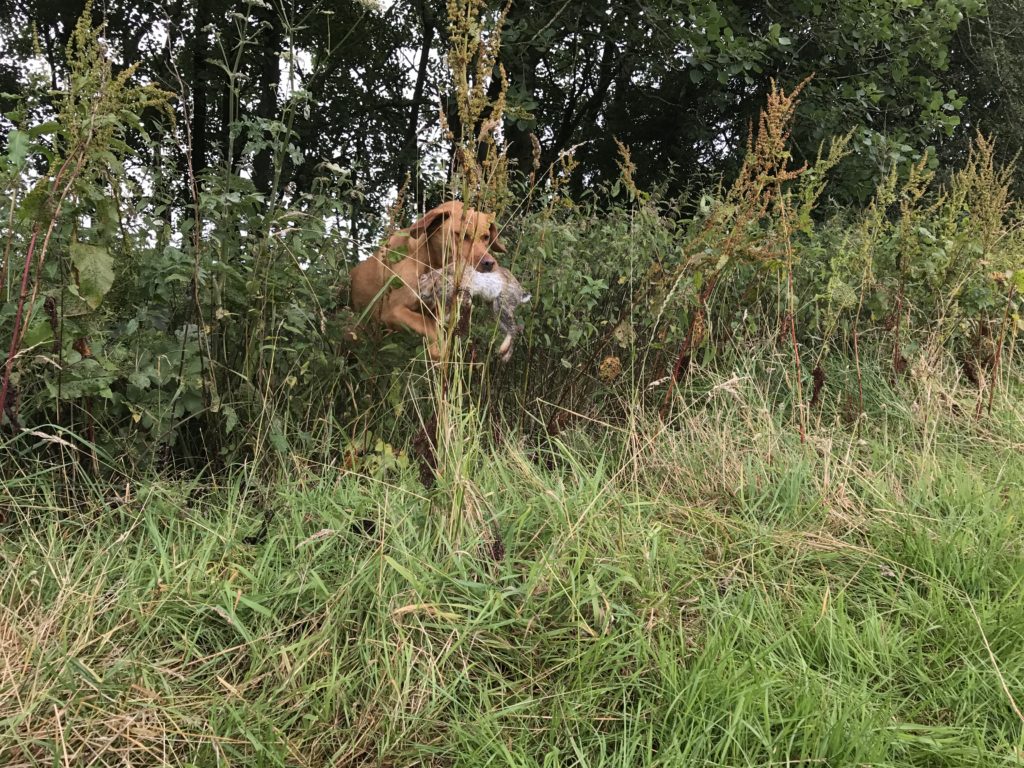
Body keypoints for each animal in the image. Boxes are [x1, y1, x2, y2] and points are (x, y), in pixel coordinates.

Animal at [350, 201, 505, 358]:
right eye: (460, 235)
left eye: (486, 237)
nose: (489, 263)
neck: (429, 262)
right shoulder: (392, 311)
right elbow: (429, 328)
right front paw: (438, 351)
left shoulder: (436, 312)